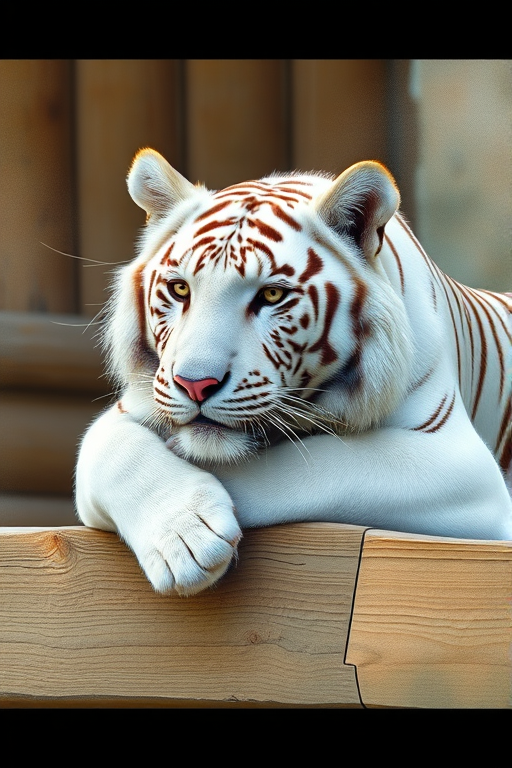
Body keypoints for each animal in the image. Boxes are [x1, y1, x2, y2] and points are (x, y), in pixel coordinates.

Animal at [75, 147, 512, 597]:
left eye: (271, 295)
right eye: (180, 289)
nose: (195, 385)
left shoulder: (463, 465)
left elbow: (322, 463)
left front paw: (199, 534)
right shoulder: (135, 404)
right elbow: (110, 450)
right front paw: (183, 537)